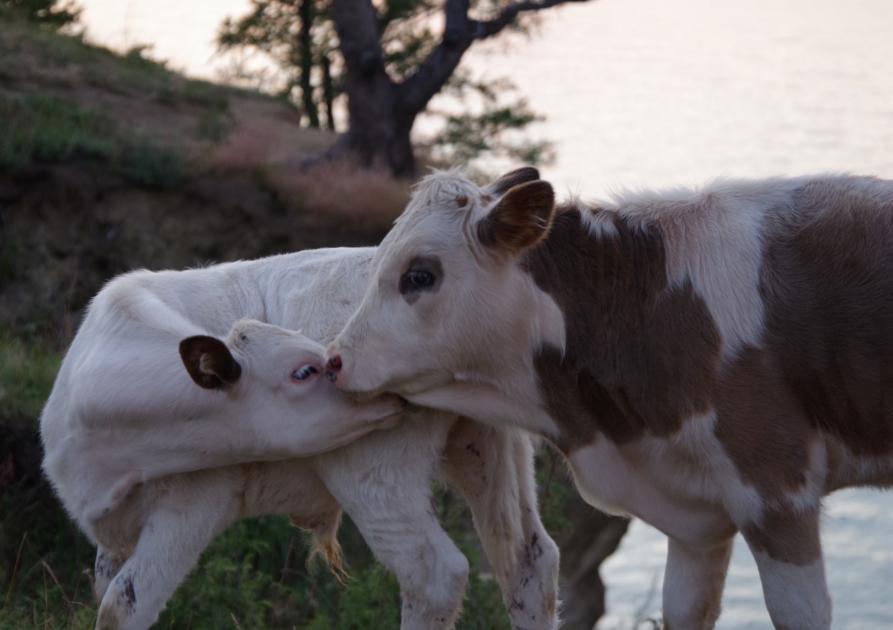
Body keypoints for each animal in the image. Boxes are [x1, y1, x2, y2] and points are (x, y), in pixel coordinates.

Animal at [41, 249, 556, 630]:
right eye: (304, 371)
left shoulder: (192, 505)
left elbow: (122, 606)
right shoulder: (113, 537)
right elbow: (103, 590)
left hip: (376, 474)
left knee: (433, 576)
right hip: (489, 449)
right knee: (530, 566)